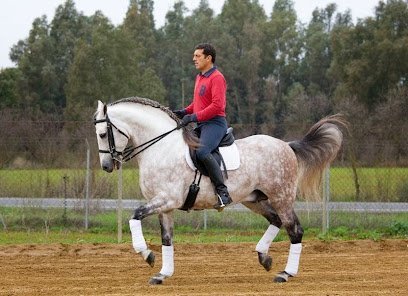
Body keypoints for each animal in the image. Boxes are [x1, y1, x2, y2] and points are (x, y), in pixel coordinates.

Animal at [93, 97, 344, 284]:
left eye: (103, 134)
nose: (106, 166)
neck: (161, 147)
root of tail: (287, 146)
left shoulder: (167, 200)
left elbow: (134, 216)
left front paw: (147, 255)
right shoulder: (164, 206)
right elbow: (167, 239)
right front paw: (163, 273)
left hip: (281, 197)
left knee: (295, 230)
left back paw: (285, 273)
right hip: (254, 199)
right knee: (276, 220)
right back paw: (264, 257)